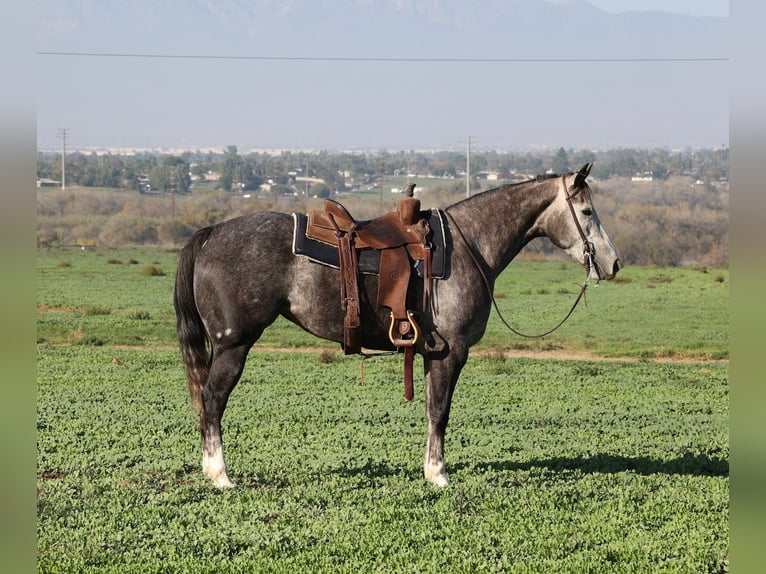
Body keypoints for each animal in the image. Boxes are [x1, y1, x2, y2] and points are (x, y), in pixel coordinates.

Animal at [174, 163, 621, 488]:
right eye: (586, 211)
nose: (612, 263)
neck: (468, 247)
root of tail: (211, 233)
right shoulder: (452, 352)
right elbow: (440, 411)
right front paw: (439, 475)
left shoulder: (430, 353)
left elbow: (430, 410)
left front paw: (429, 469)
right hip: (233, 346)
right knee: (212, 400)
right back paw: (220, 476)